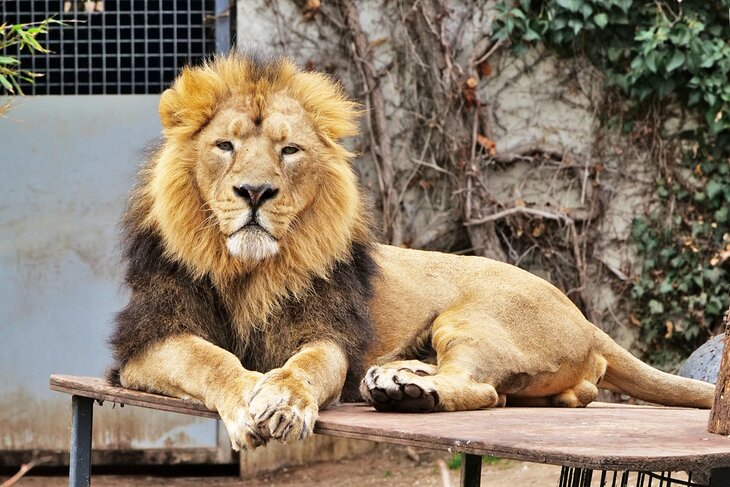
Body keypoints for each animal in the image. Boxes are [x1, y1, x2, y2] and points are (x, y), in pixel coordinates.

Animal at [105, 51, 712, 452]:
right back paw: (404, 378)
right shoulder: (148, 341)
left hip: (473, 318)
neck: (249, 269)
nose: (254, 192)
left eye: (289, 150)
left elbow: (307, 366)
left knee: (481, 389)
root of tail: (584, 319)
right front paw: (251, 393)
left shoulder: (327, 332)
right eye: (224, 146)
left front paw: (282, 398)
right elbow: (210, 359)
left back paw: (406, 391)